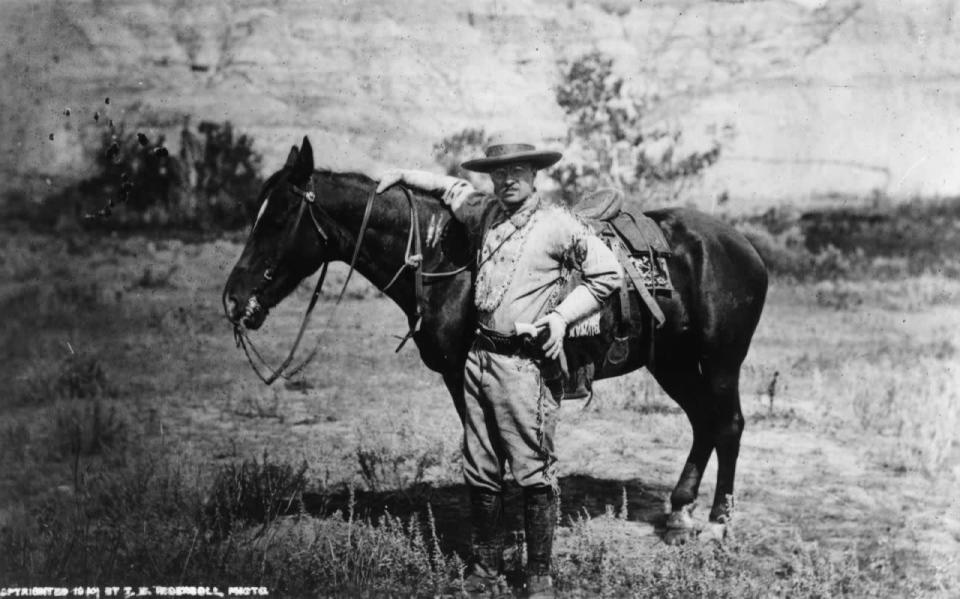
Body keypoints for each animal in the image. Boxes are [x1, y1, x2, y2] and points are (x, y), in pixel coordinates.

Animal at [221, 139, 768, 540]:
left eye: (277, 218)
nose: (234, 299)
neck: (443, 259)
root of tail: (743, 246)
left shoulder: (468, 374)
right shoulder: (462, 377)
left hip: (721, 361)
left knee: (729, 424)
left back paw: (718, 523)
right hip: (672, 361)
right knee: (702, 422)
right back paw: (679, 513)